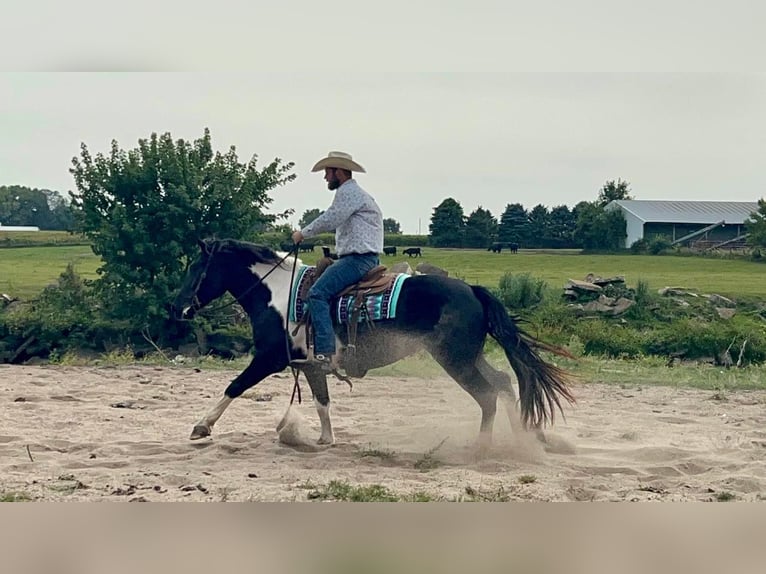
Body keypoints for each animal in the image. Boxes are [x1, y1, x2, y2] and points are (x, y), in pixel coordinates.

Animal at [171, 238, 572, 450]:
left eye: (196, 267)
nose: (178, 307)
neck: (279, 296)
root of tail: (472, 290)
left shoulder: (269, 359)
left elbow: (234, 386)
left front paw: (201, 426)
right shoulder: (310, 365)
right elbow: (321, 401)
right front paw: (325, 440)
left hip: (455, 359)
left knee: (487, 395)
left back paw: (481, 448)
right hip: (469, 357)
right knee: (503, 383)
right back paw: (522, 438)